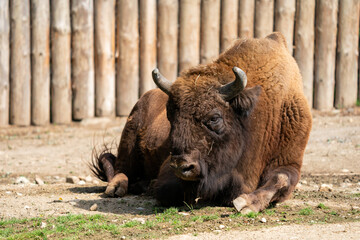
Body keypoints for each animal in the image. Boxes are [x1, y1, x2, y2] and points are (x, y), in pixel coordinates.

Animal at [90, 32, 312, 214]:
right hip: (130, 135)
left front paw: (246, 203)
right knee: (120, 168)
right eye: (170, 116)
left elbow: (280, 180)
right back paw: (117, 188)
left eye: (214, 118)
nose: (182, 166)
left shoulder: (290, 162)